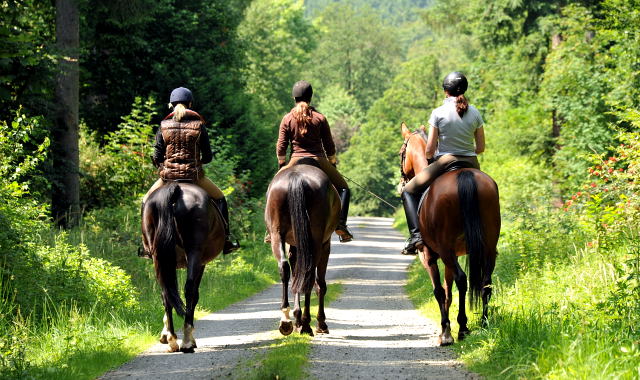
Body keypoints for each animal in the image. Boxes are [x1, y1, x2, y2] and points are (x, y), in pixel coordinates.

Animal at [142, 182, 225, 354]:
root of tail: (176, 189)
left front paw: (165, 333)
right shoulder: (201, 262)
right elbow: (195, 294)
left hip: (158, 255)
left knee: (166, 292)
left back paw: (172, 340)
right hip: (194, 251)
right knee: (189, 290)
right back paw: (187, 341)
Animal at [264, 157, 342, 336]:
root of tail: (297, 177)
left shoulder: (295, 245)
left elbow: (295, 277)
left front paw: (297, 319)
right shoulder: (325, 245)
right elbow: (320, 284)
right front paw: (320, 323)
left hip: (277, 235)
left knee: (284, 267)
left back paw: (286, 320)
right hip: (317, 241)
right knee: (309, 275)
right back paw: (307, 324)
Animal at [400, 123, 500, 346]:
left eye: (401, 153)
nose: (402, 181)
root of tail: (464, 175)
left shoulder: (430, 256)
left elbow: (439, 290)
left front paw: (445, 332)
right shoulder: (449, 257)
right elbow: (447, 291)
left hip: (445, 250)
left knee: (462, 280)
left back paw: (462, 327)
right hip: (487, 247)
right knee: (485, 283)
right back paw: (484, 323)